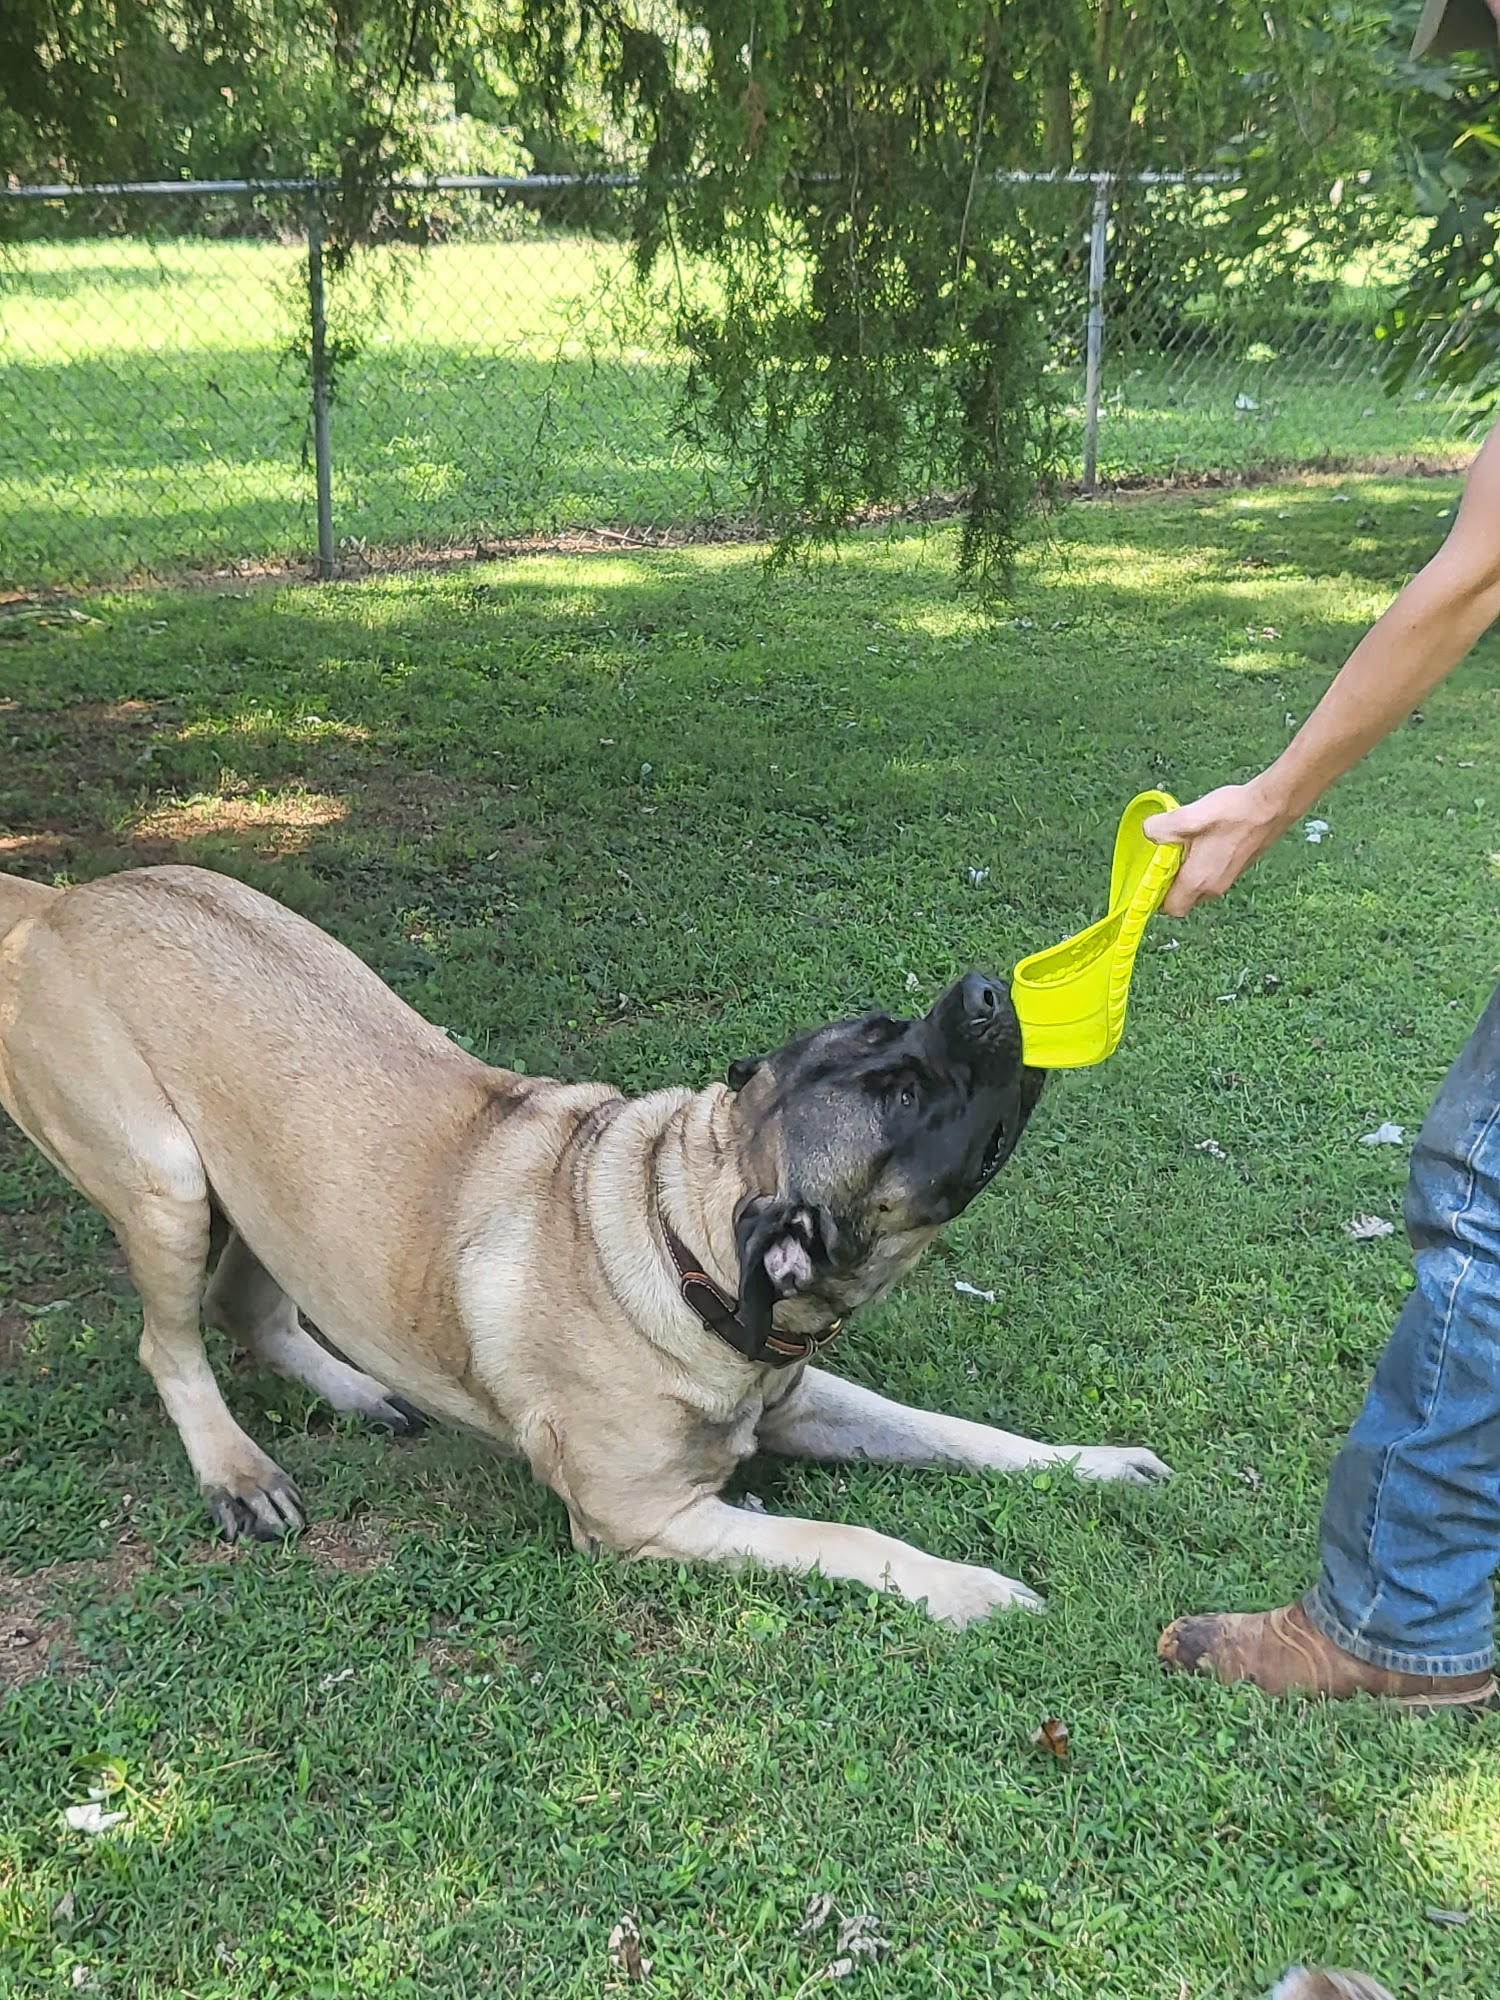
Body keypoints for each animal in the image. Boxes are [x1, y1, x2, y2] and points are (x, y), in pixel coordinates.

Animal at [0, 864, 1168, 1624]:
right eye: (903, 1095)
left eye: (891, 1030)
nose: (986, 986)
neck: (677, 1236)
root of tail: (58, 905)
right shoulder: (650, 1516)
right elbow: (845, 1539)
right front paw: (969, 1586)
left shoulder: (799, 1399)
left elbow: (958, 1431)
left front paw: (1093, 1463)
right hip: (166, 1180)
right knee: (170, 1342)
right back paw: (237, 1472)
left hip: (256, 1188)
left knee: (251, 1303)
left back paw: (355, 1390)